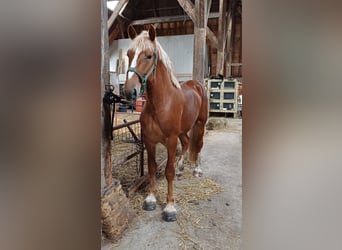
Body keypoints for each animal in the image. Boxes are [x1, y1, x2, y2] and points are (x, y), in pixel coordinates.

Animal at [124, 24, 207, 221]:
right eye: (129, 54)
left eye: (149, 55)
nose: (129, 92)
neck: (161, 103)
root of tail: (197, 85)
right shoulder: (149, 141)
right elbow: (152, 168)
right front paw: (151, 199)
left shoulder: (170, 140)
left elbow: (168, 171)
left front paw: (169, 207)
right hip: (183, 130)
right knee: (186, 143)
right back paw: (181, 169)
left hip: (200, 124)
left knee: (199, 145)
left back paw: (197, 170)